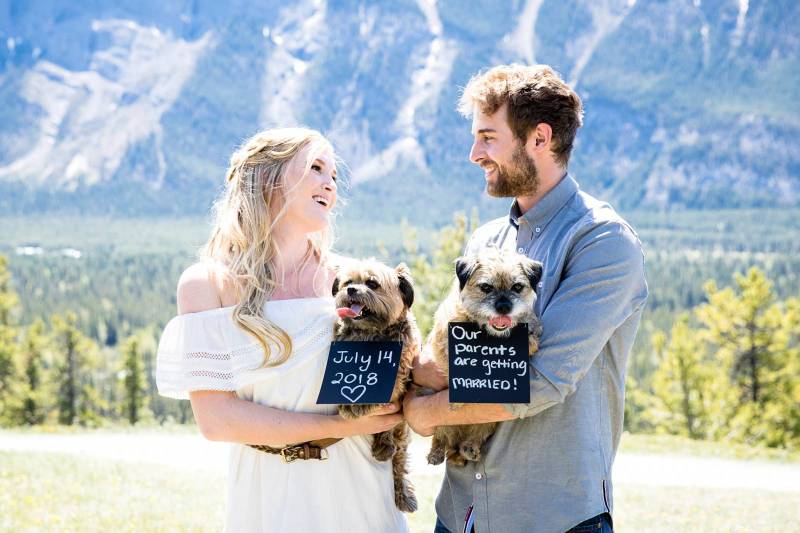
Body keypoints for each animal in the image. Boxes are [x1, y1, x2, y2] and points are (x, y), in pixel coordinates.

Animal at [332, 258, 422, 512]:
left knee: (399, 461)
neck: (372, 333)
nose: (351, 290)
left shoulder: (402, 368)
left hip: (401, 433)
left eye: (372, 283)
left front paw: (358, 404)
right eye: (348, 282)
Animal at [424, 247, 544, 464]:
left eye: (517, 287)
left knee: (474, 436)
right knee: (441, 435)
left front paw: (530, 341)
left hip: (486, 424)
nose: (504, 306)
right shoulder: (442, 338)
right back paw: (436, 452)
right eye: (486, 287)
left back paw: (469, 448)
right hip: (443, 426)